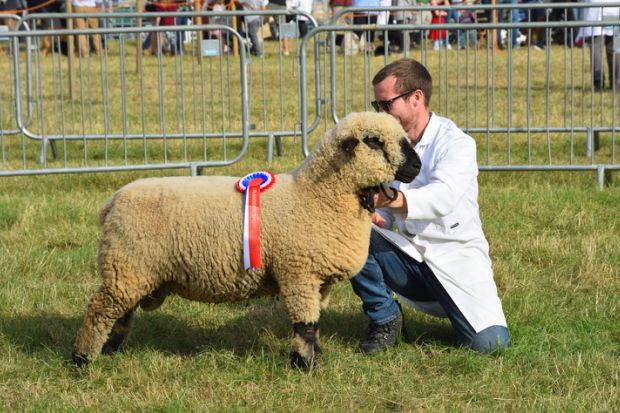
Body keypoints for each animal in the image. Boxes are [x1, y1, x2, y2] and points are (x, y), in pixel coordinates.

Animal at [71, 111, 422, 368]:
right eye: (374, 141)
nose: (417, 166)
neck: (316, 196)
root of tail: (113, 201)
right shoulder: (298, 274)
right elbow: (305, 324)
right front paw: (304, 365)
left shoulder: (318, 281)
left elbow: (315, 322)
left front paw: (315, 355)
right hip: (127, 264)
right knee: (100, 310)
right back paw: (82, 359)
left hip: (133, 270)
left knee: (119, 313)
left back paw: (109, 351)